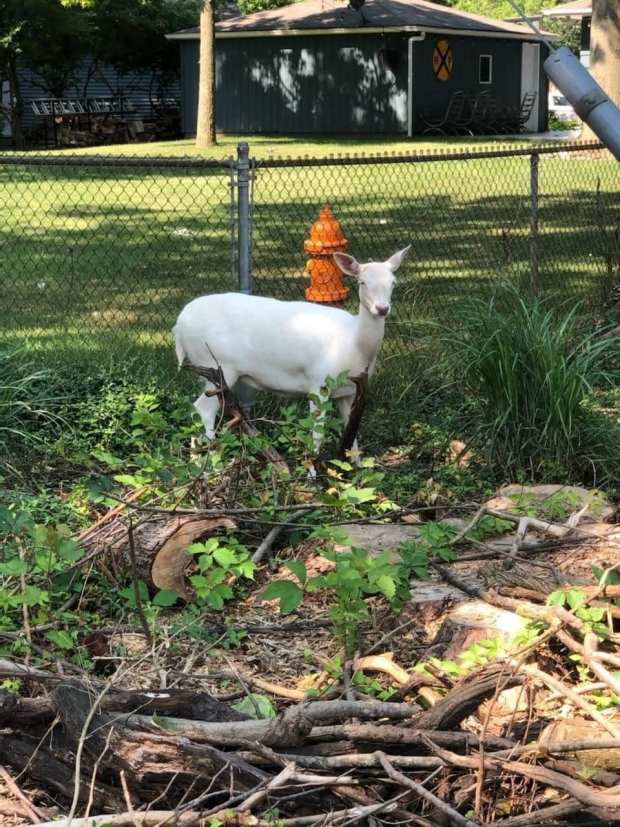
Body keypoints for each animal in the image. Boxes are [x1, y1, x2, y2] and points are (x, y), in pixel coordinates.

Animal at [172, 246, 410, 460]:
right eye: (362, 282)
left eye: (393, 283)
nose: (382, 308)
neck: (352, 345)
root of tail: (178, 326)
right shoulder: (318, 383)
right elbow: (316, 434)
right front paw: (313, 474)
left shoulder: (349, 391)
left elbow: (352, 438)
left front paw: (354, 472)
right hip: (216, 366)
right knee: (204, 409)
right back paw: (212, 464)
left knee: (197, 409)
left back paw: (196, 459)